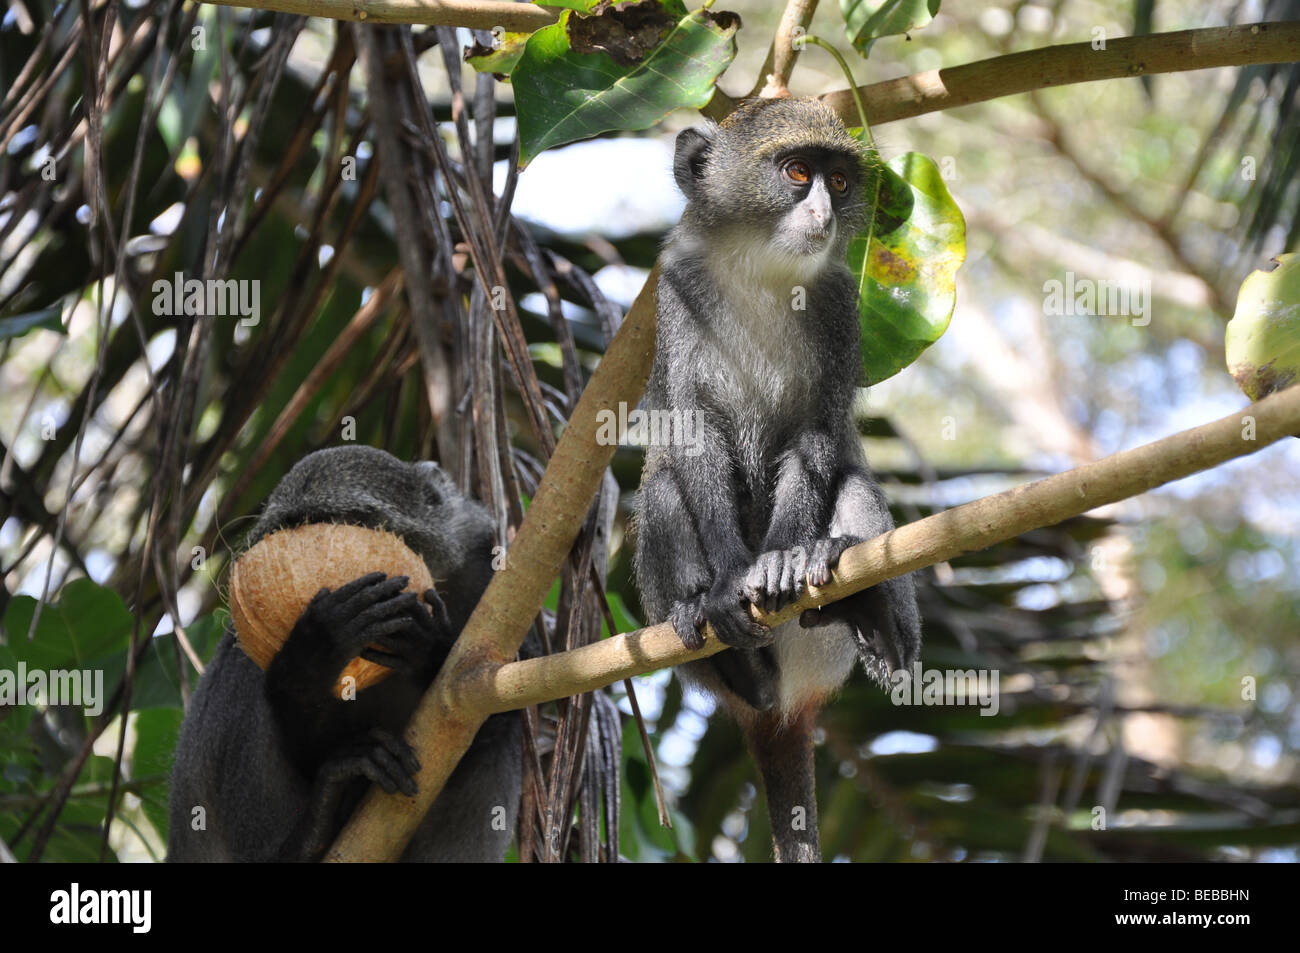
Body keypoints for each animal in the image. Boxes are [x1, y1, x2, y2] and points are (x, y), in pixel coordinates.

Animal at [168, 445, 521, 862]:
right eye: (295, 526)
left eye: (348, 521)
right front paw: (314, 654)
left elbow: (488, 711)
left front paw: (428, 646)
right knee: (243, 668)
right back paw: (307, 835)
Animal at [633, 98, 922, 863]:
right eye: (797, 173)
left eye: (840, 182)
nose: (823, 212)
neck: (759, 267)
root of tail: (790, 709)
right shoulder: (677, 292)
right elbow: (691, 433)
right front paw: (733, 578)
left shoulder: (840, 306)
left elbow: (817, 436)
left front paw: (784, 558)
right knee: (662, 487)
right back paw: (733, 657)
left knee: (855, 487)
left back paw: (876, 625)